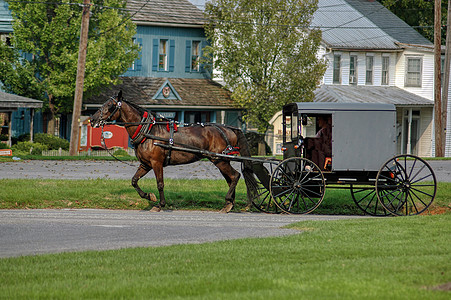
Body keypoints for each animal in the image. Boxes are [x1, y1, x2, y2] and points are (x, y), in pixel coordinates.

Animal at [90, 91, 256, 211]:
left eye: (110, 105)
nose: (92, 119)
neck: (149, 131)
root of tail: (229, 129)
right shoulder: (145, 164)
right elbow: (134, 181)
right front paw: (149, 196)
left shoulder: (156, 163)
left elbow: (160, 184)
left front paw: (160, 204)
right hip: (221, 160)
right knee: (230, 179)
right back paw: (229, 204)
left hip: (219, 159)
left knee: (235, 176)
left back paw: (228, 202)